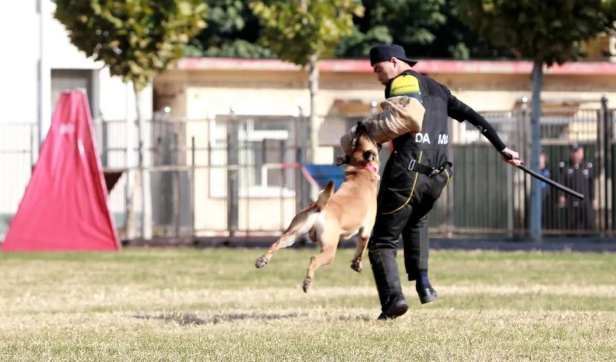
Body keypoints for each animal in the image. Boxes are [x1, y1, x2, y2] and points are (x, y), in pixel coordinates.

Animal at [255, 123, 380, 292]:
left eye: (356, 142)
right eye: (362, 138)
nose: (360, 124)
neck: (361, 171)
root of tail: (320, 207)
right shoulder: (366, 229)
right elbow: (361, 248)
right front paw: (357, 264)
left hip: (292, 234)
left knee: (276, 243)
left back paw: (262, 260)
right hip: (329, 249)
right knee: (314, 259)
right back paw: (307, 282)